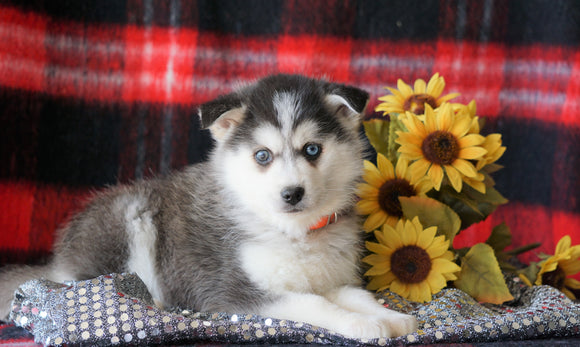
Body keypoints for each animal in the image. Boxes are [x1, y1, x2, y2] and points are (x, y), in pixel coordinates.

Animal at [0, 75, 416, 338]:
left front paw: (392, 316)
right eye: (262, 156)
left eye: (312, 149)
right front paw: (363, 325)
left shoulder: (333, 279)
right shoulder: (235, 291)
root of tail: (61, 259)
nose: (292, 193)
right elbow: (314, 305)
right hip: (128, 222)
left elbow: (357, 296)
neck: (294, 233)